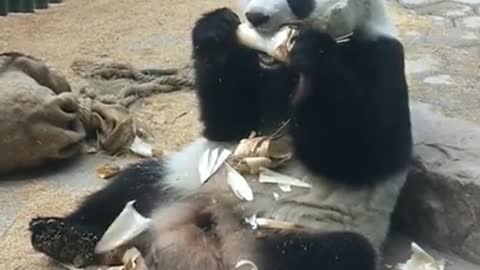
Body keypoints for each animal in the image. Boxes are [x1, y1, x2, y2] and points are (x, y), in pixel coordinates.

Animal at [30, 0, 412, 268]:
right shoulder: (259, 75)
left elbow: (365, 153)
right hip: (183, 182)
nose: (255, 17)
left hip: (301, 230)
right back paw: (60, 236)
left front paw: (310, 52)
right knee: (130, 188)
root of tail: (218, 237)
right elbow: (230, 122)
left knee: (341, 253)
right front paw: (216, 32)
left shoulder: (379, 55)